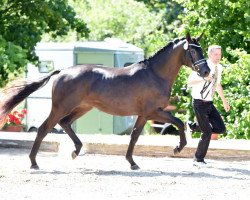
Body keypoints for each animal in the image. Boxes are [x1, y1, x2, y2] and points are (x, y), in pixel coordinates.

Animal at [0, 32, 210, 169]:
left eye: (202, 50)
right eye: (193, 51)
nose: (206, 71)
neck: (155, 74)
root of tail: (62, 72)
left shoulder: (144, 114)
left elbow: (134, 136)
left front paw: (132, 163)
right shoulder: (153, 112)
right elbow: (179, 123)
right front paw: (177, 148)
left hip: (83, 107)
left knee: (65, 123)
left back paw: (76, 151)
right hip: (61, 107)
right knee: (44, 128)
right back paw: (34, 162)